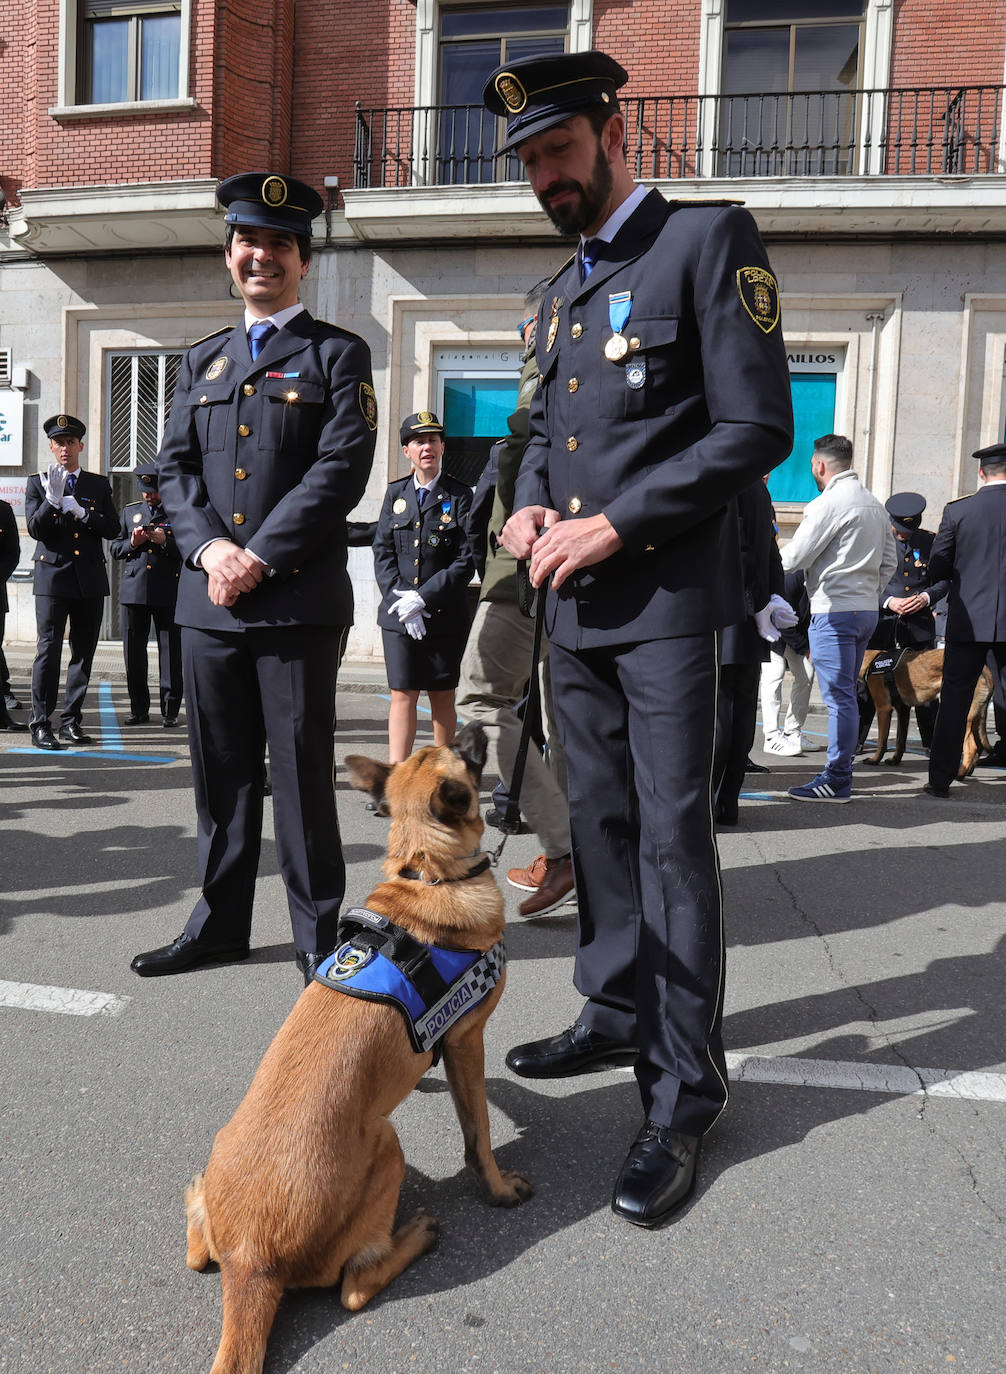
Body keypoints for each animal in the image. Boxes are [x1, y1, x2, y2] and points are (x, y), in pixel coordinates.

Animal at [186, 725, 533, 1368]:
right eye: (465, 756)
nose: (478, 727)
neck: (426, 869)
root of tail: (251, 1261)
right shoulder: (467, 1043)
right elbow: (479, 1137)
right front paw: (497, 1190)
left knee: (198, 1252)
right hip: (388, 1142)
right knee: (353, 1286)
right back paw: (415, 1236)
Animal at [857, 645, 989, 774]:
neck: (872, 660)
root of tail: (985, 668)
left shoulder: (883, 708)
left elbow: (882, 740)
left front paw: (875, 759)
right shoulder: (903, 710)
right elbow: (900, 741)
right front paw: (895, 760)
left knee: (972, 746)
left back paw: (960, 774)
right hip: (976, 718)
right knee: (979, 745)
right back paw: (968, 771)